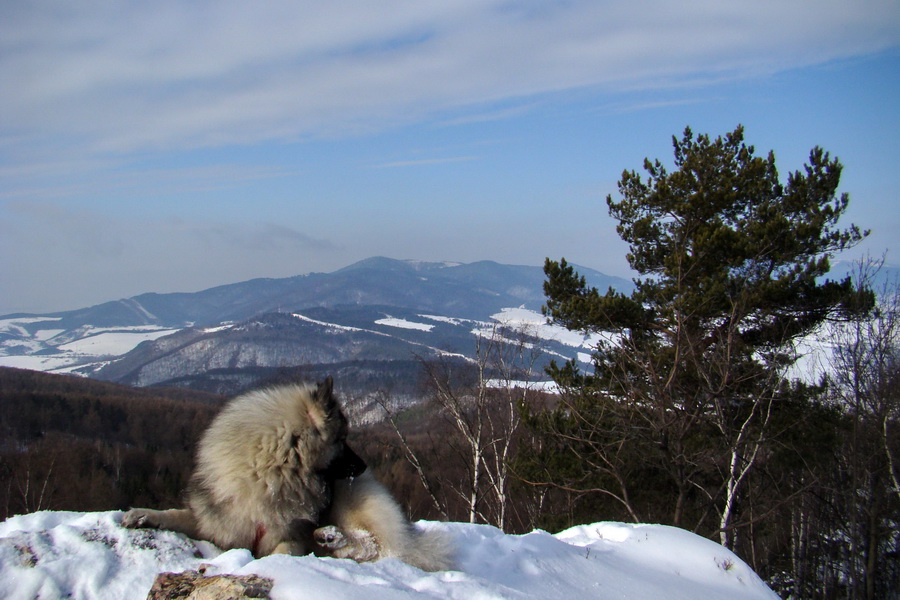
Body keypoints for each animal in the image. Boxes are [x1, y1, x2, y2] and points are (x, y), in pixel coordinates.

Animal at [121, 380, 364, 556]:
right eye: (342, 440)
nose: (364, 466)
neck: (267, 478)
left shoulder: (293, 536)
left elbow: (284, 550)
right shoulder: (217, 522)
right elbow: (175, 516)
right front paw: (142, 515)